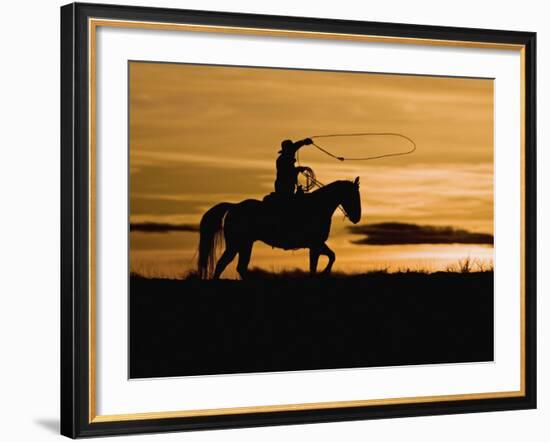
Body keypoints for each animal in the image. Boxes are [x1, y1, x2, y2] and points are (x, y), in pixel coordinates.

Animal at [198, 177, 362, 278]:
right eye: (353, 196)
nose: (357, 217)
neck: (318, 206)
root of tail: (234, 206)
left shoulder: (317, 244)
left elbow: (331, 256)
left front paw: (324, 273)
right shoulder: (315, 245)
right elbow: (317, 265)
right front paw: (323, 273)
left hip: (246, 244)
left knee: (240, 267)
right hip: (236, 244)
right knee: (222, 264)